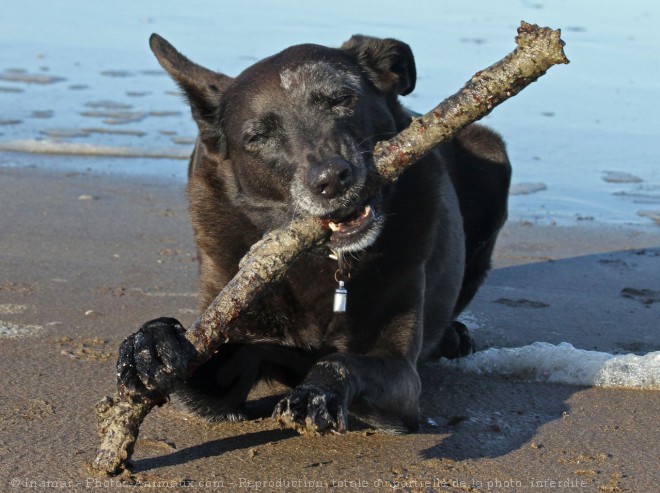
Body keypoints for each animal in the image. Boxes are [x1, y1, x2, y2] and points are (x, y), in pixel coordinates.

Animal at [117, 32, 510, 432]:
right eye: (258, 137)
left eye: (342, 99)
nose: (331, 179)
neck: (321, 260)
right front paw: (154, 341)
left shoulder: (400, 371)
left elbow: (340, 361)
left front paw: (317, 390)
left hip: (492, 153)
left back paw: (452, 336)